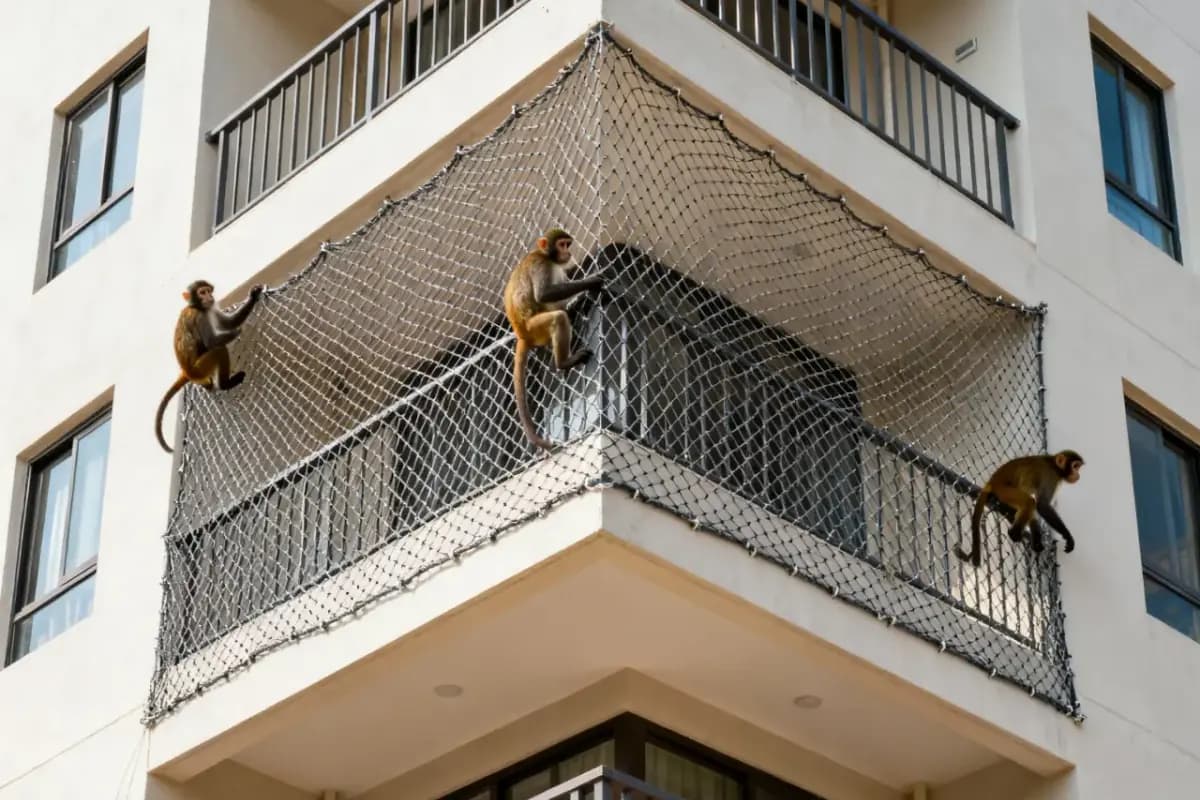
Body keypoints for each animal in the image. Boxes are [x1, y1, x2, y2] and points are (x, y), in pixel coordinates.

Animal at [154, 279, 265, 453]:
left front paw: (253, 296)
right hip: (200, 368)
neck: (197, 306)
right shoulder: (200, 316)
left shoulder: (209, 309)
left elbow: (226, 322)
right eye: (202, 292)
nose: (209, 297)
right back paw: (225, 384)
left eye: (208, 291)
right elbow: (211, 342)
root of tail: (187, 372)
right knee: (218, 349)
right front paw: (237, 331)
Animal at [503, 227, 603, 451]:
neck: (547, 256)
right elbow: (543, 294)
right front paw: (591, 282)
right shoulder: (541, 264)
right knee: (557, 317)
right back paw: (563, 361)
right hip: (535, 325)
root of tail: (523, 334)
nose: (568, 252)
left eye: (568, 244)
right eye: (562, 245)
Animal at [954, 450, 1084, 566]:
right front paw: (1067, 536)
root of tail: (993, 480)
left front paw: (1037, 540)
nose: (1078, 474)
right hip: (1004, 490)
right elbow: (1042, 505)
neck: (1053, 465)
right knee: (1030, 501)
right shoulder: (1051, 476)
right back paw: (1013, 533)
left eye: (1078, 467)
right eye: (1075, 466)